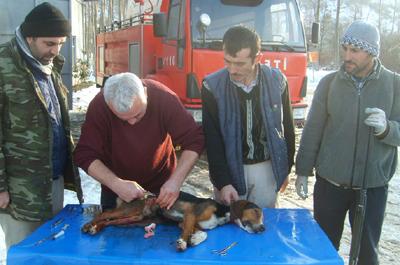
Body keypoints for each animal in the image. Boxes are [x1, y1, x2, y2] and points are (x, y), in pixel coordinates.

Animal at [81, 190, 264, 250]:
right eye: (256, 211)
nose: (263, 229)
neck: (221, 213)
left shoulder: (187, 222)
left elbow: (202, 234)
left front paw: (194, 239)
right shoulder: (190, 214)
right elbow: (188, 231)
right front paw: (183, 242)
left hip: (134, 219)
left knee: (109, 221)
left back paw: (95, 228)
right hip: (130, 209)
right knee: (104, 214)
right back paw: (88, 225)